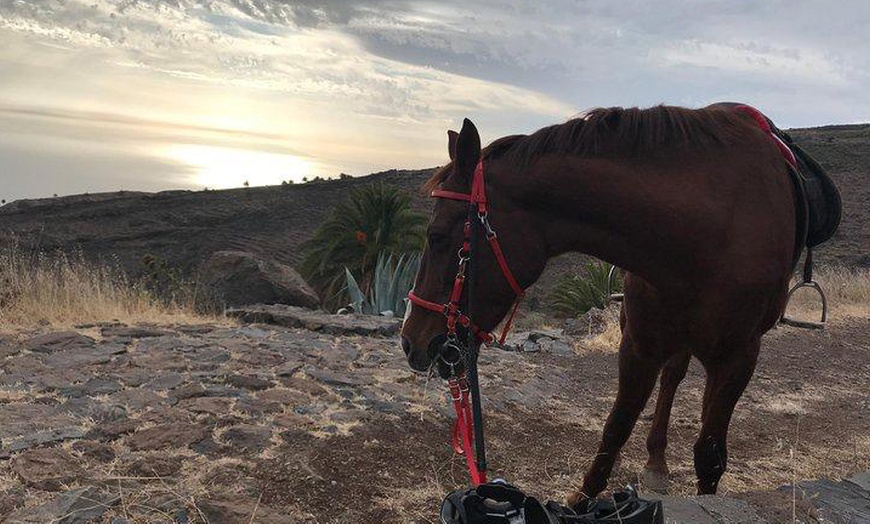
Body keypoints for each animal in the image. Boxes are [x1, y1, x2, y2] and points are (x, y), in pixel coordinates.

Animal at [402, 104, 804, 506]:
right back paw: (656, 463)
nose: (410, 342)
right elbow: (616, 428)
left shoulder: (740, 358)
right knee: (672, 379)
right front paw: (581, 499)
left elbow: (709, 454)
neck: (709, 229)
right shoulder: (640, 345)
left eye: (436, 236)